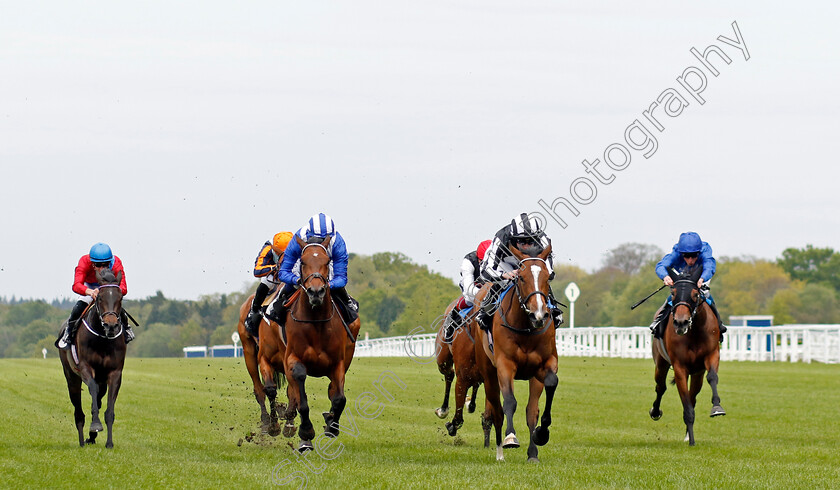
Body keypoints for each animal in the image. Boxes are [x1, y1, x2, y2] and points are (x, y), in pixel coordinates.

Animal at [60, 268, 127, 448]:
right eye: (100, 297)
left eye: (120, 297)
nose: (111, 326)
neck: (103, 339)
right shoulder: (85, 368)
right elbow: (92, 392)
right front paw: (95, 425)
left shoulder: (115, 373)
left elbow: (109, 409)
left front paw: (109, 442)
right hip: (71, 378)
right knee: (78, 409)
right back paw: (82, 440)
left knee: (98, 397)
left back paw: (91, 437)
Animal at [258, 234, 360, 452]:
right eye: (303, 262)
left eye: (327, 261)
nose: (316, 291)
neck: (315, 321)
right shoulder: (293, 360)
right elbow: (301, 399)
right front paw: (306, 434)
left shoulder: (338, 363)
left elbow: (339, 398)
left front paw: (332, 426)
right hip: (266, 356)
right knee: (272, 389)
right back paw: (275, 425)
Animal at [472, 245, 556, 464]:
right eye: (521, 278)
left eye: (548, 277)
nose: (539, 314)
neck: (526, 328)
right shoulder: (505, 365)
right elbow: (509, 402)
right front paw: (511, 437)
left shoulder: (544, 365)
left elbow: (538, 403)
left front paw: (540, 436)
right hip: (489, 373)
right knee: (496, 410)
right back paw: (500, 452)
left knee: (529, 409)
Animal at [648, 266, 728, 446]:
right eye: (673, 293)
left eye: (695, 294)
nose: (681, 322)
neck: (694, 331)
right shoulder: (679, 367)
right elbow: (685, 403)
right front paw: (691, 440)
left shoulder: (711, 355)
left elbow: (712, 377)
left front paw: (717, 407)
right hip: (661, 363)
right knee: (660, 387)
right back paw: (655, 411)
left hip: (697, 374)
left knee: (693, 396)